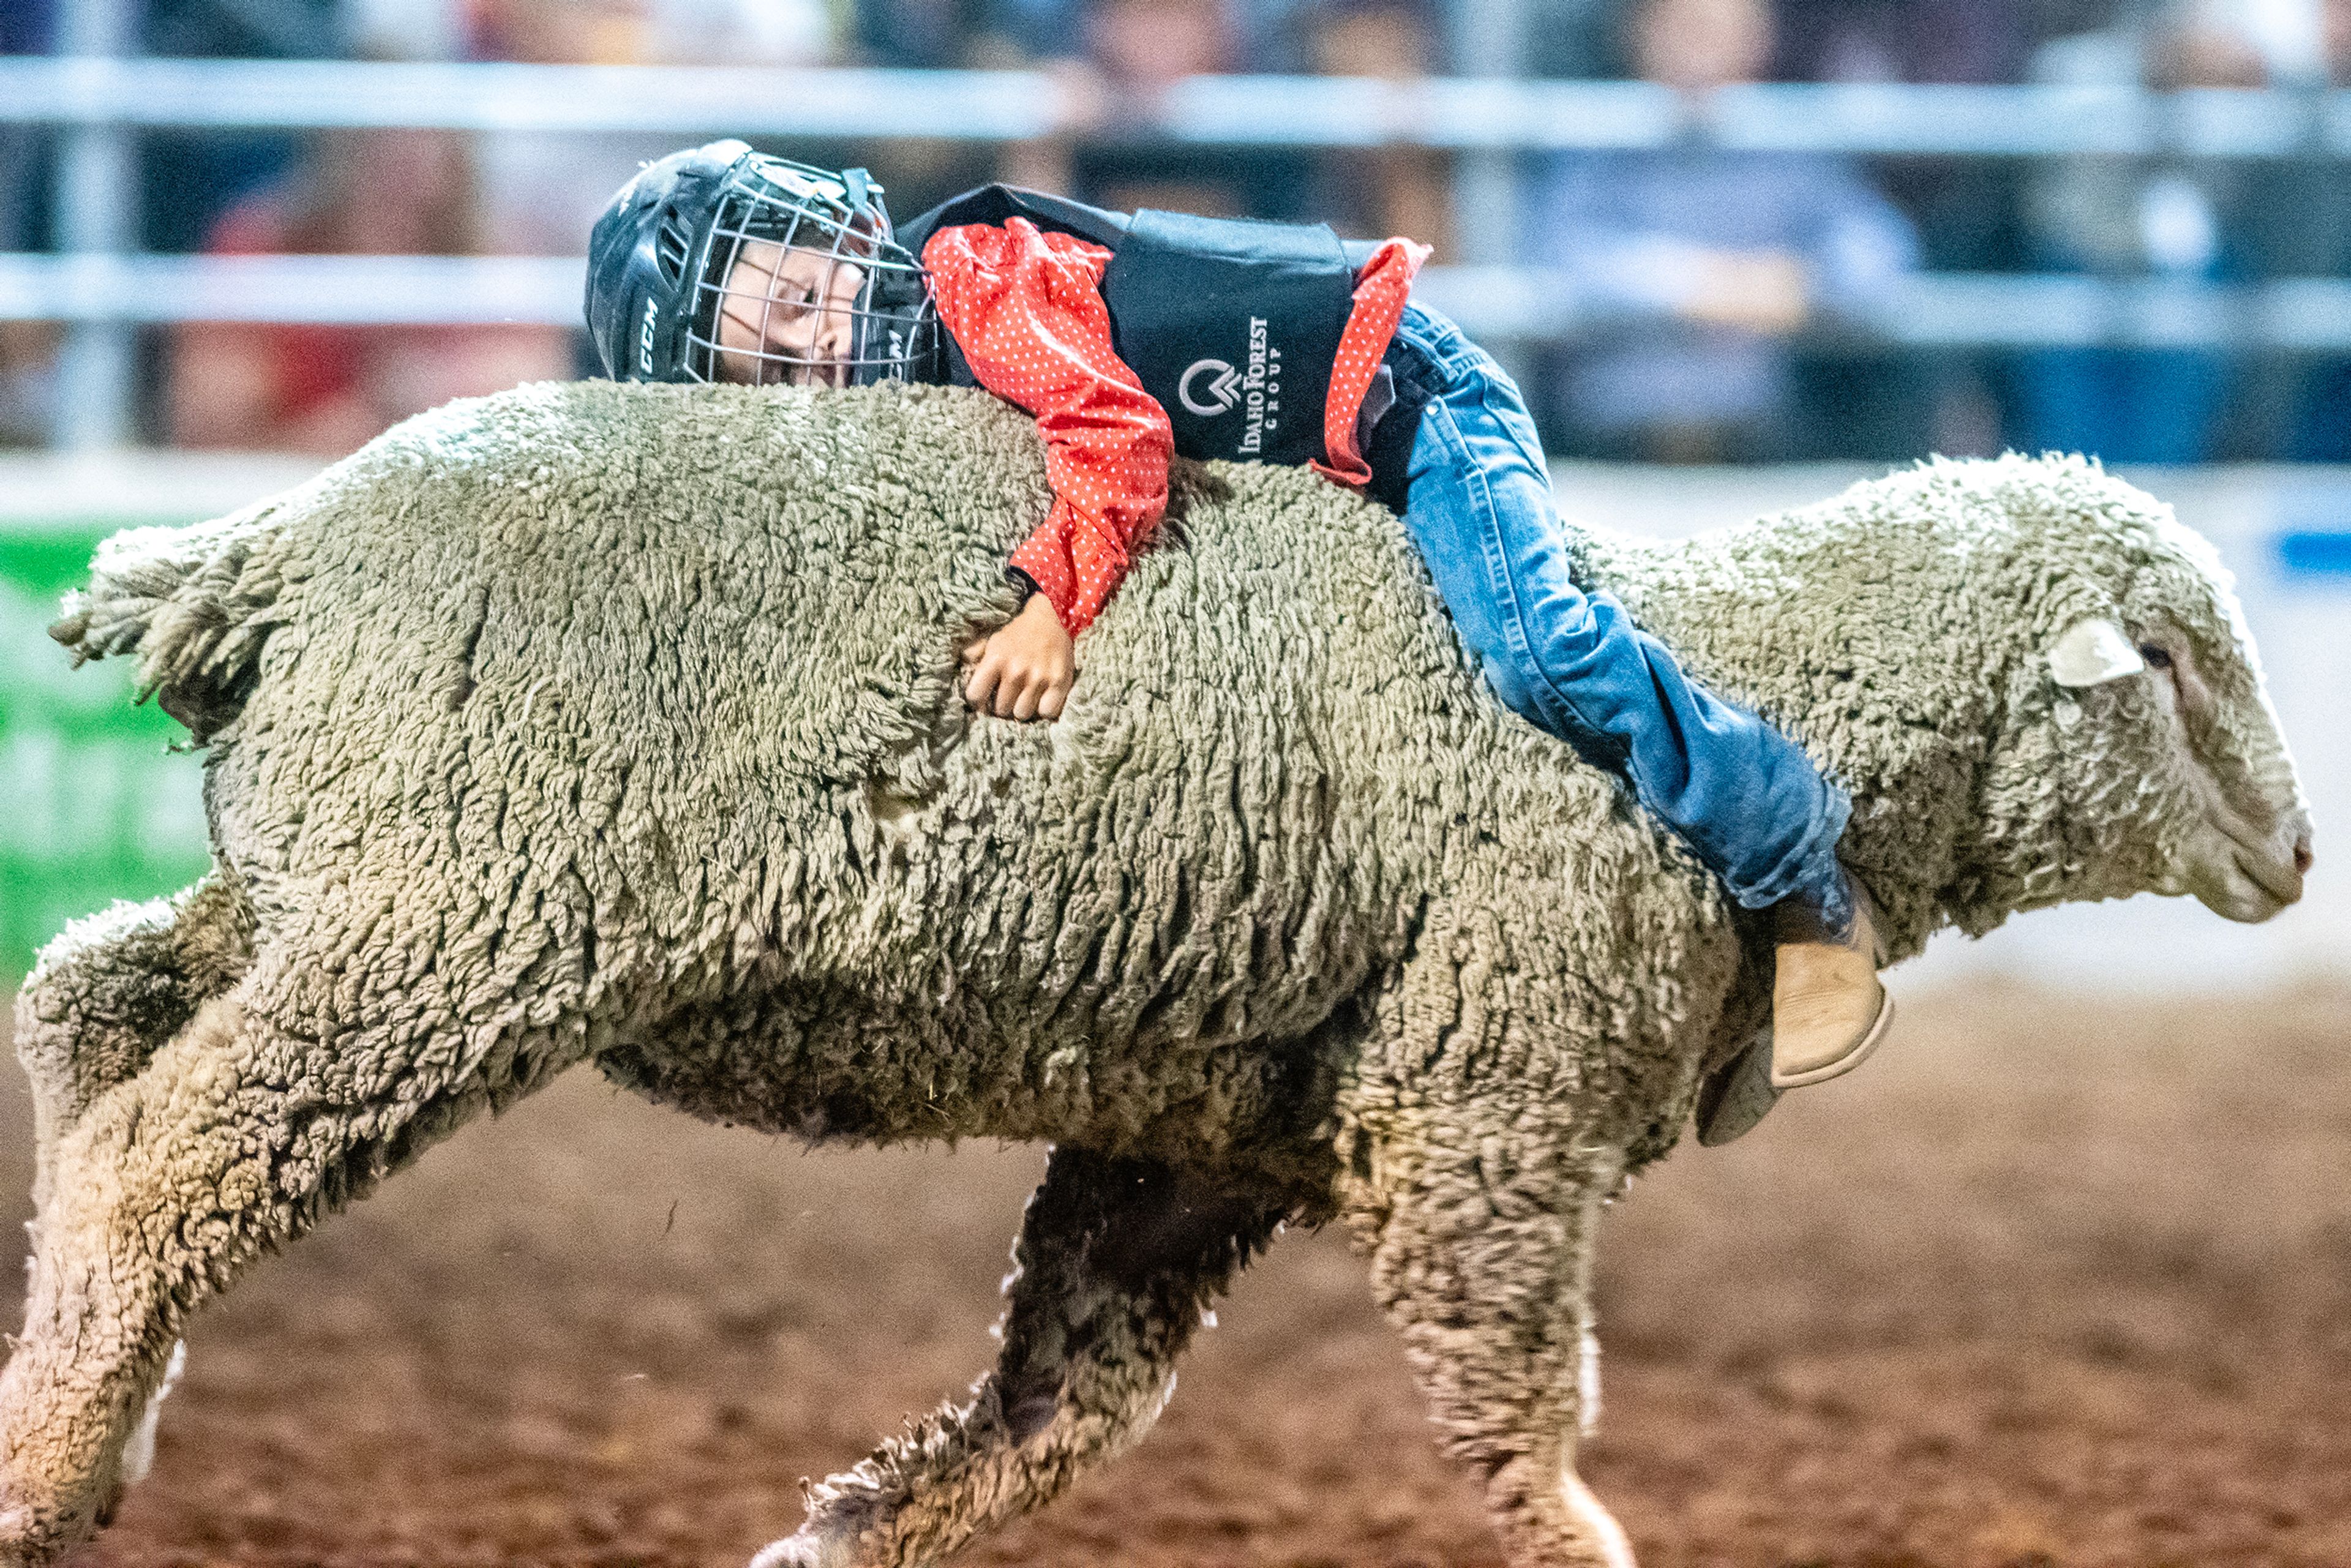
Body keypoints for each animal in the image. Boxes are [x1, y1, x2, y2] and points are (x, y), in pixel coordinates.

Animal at [0, 381, 2313, 1568]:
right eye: (2171, 658)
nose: (2299, 856)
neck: (1735, 683)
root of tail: (268, 555)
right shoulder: (1485, 1098)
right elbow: (1512, 1394)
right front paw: (1574, 1530)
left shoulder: (1215, 1130)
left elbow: (1070, 1393)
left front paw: (846, 1530)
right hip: (449, 923)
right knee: (164, 1156)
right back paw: (44, 1473)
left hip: (332, 889)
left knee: (91, 1004)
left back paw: (85, 1439)